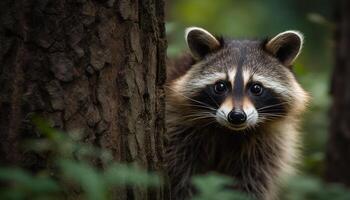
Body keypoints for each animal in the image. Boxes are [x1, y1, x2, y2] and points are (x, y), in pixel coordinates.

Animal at [165, 27, 310, 200]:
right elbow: (180, 177)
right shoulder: (178, 128)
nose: (237, 116)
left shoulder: (269, 145)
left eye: (256, 88)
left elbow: (252, 182)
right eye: (220, 86)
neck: (229, 131)